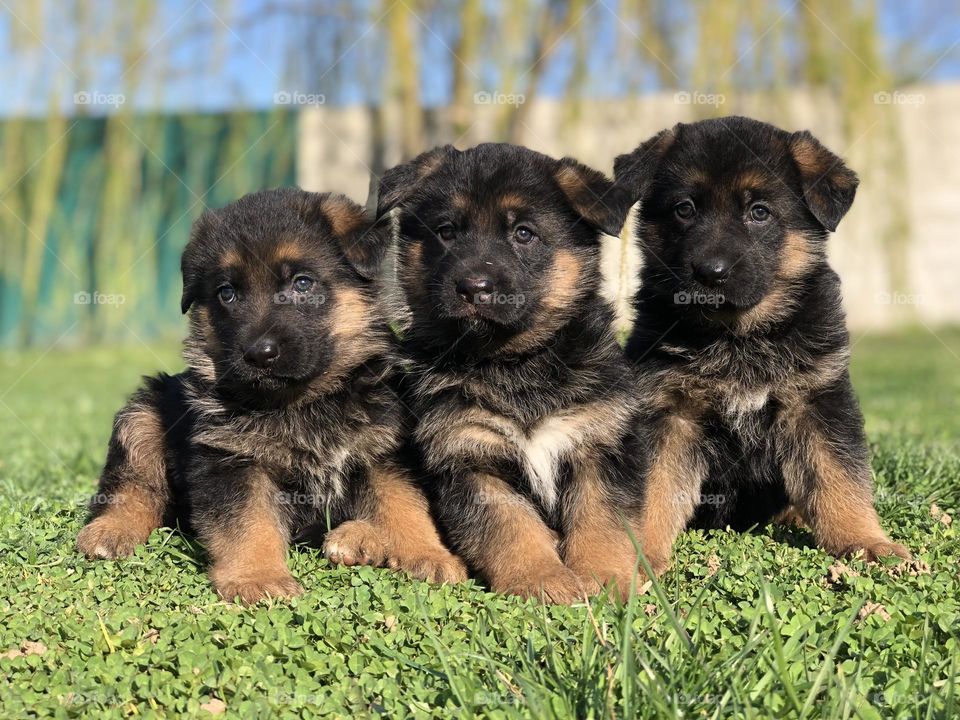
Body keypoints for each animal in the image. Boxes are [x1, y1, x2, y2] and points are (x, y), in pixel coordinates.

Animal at [76, 187, 464, 600]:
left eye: (303, 284)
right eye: (227, 293)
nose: (259, 354)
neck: (303, 400)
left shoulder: (384, 449)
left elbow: (405, 505)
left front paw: (428, 554)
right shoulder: (231, 458)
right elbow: (247, 521)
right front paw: (257, 576)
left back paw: (360, 538)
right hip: (142, 414)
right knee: (134, 486)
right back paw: (112, 529)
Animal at [378, 143, 648, 604]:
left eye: (523, 233)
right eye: (446, 231)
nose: (474, 287)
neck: (513, 363)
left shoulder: (598, 442)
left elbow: (602, 519)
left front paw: (603, 577)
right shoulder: (470, 455)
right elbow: (511, 527)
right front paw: (541, 577)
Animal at [612, 119, 912, 580]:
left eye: (759, 212)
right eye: (684, 209)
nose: (711, 273)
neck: (739, 336)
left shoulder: (816, 401)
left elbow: (839, 477)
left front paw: (864, 542)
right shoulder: (667, 410)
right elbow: (652, 490)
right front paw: (640, 556)